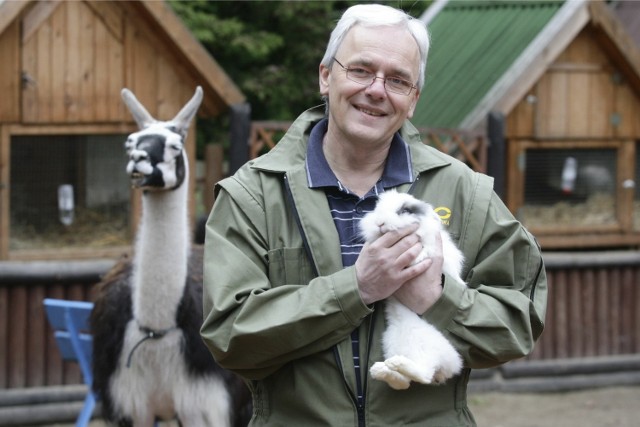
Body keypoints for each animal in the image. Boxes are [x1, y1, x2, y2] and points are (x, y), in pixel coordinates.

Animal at [360, 191, 464, 392]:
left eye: (404, 211)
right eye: (377, 208)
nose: (380, 223)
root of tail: (448, 368)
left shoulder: (432, 248)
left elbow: (425, 252)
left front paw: (415, 259)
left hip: (429, 347)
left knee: (423, 375)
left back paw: (394, 364)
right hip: (392, 342)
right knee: (404, 382)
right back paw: (382, 369)